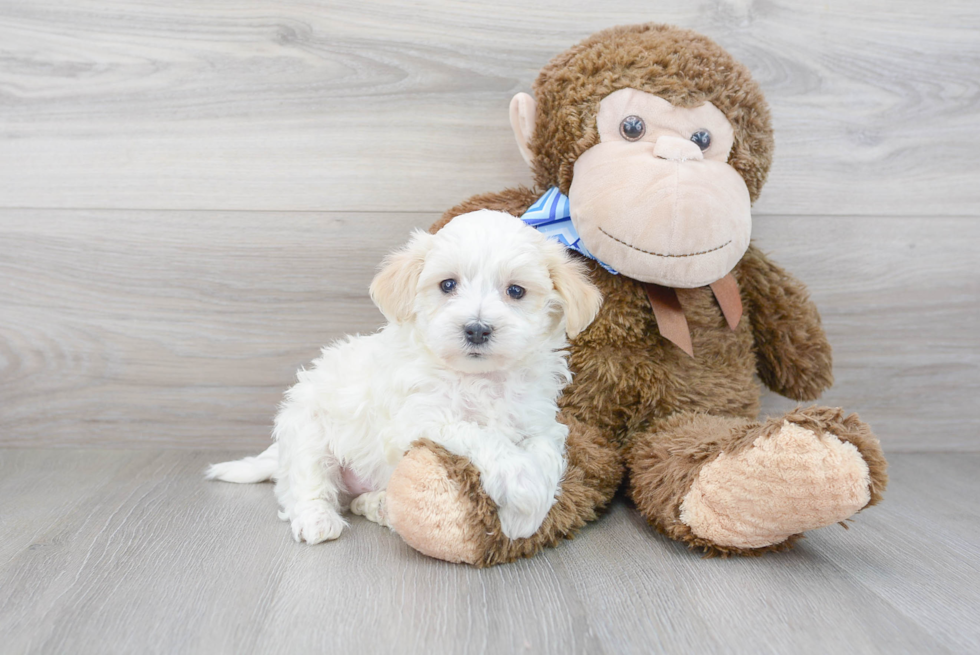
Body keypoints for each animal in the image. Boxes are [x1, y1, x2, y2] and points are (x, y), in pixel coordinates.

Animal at [209, 209, 596, 544]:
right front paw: (522, 498)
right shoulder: (421, 419)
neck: (482, 378)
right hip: (307, 430)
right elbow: (483, 436)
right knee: (305, 486)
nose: (477, 329)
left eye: (516, 291)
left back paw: (378, 505)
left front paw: (530, 509)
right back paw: (317, 519)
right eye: (448, 285)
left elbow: (546, 452)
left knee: (352, 501)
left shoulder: (542, 422)